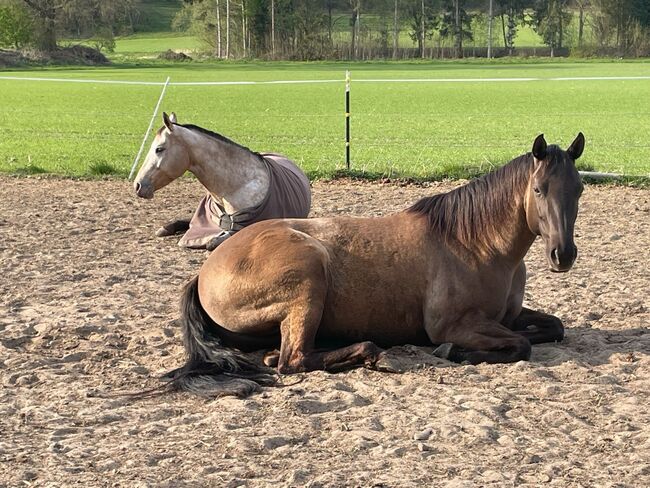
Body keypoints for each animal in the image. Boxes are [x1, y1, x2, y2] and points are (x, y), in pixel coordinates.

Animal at [165, 132, 584, 396]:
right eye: (538, 189)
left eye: (579, 189)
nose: (563, 254)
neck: (474, 244)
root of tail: (203, 272)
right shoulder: (452, 325)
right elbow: (519, 345)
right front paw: (455, 352)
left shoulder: (509, 316)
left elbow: (553, 328)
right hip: (308, 277)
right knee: (293, 360)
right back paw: (373, 354)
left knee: (279, 356)